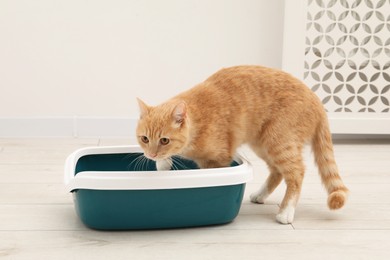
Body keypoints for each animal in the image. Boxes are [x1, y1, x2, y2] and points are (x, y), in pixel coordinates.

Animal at [136, 64, 348, 223]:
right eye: (144, 139)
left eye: (164, 140)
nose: (151, 154)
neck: (198, 119)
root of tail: (317, 101)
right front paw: (163, 163)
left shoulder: (219, 159)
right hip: (263, 144)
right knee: (277, 172)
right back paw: (261, 195)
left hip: (279, 141)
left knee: (296, 173)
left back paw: (286, 211)